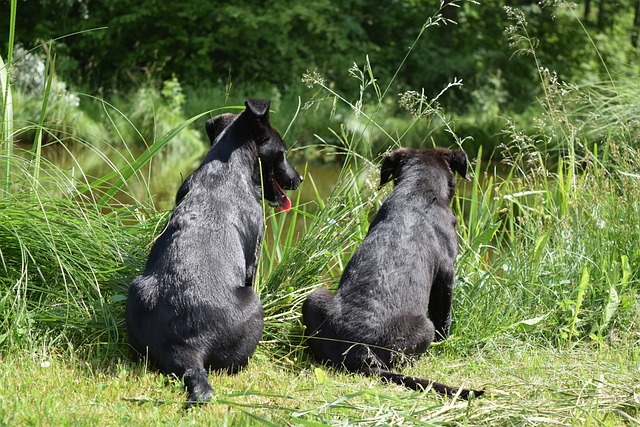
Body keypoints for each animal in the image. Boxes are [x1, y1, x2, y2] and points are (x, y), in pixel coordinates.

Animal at [128, 99, 304, 408]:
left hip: (136, 291)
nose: (300, 178)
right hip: (253, 305)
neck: (227, 168)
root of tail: (188, 348)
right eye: (282, 153)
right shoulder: (254, 254)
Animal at [302, 149, 482, 400]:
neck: (418, 189)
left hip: (314, 298)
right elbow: (444, 314)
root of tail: (361, 351)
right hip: (424, 327)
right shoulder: (446, 272)